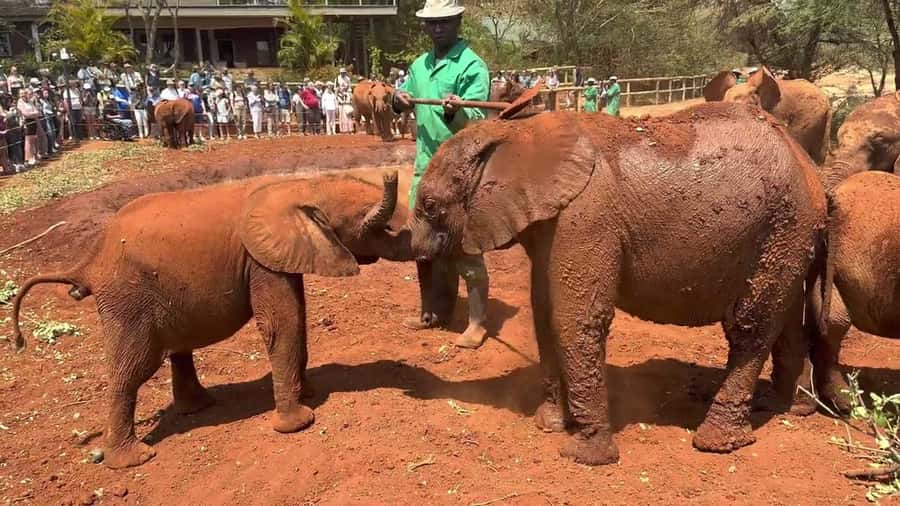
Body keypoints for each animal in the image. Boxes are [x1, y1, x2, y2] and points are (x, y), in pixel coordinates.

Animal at [11, 171, 412, 469]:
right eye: (379, 227)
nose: (391, 175)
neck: (301, 186)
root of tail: (89, 262)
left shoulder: (277, 258)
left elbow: (296, 314)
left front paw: (308, 394)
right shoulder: (260, 261)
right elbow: (283, 322)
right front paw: (299, 422)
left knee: (175, 350)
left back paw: (199, 407)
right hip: (127, 299)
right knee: (131, 369)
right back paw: (134, 459)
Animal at [407, 102, 827, 465]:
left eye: (430, 206)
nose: (423, 324)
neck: (516, 132)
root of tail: (808, 164)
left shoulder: (585, 216)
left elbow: (575, 320)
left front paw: (584, 455)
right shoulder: (550, 227)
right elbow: (544, 315)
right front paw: (549, 425)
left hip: (784, 225)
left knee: (751, 328)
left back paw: (717, 442)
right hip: (789, 234)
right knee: (787, 321)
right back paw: (785, 407)